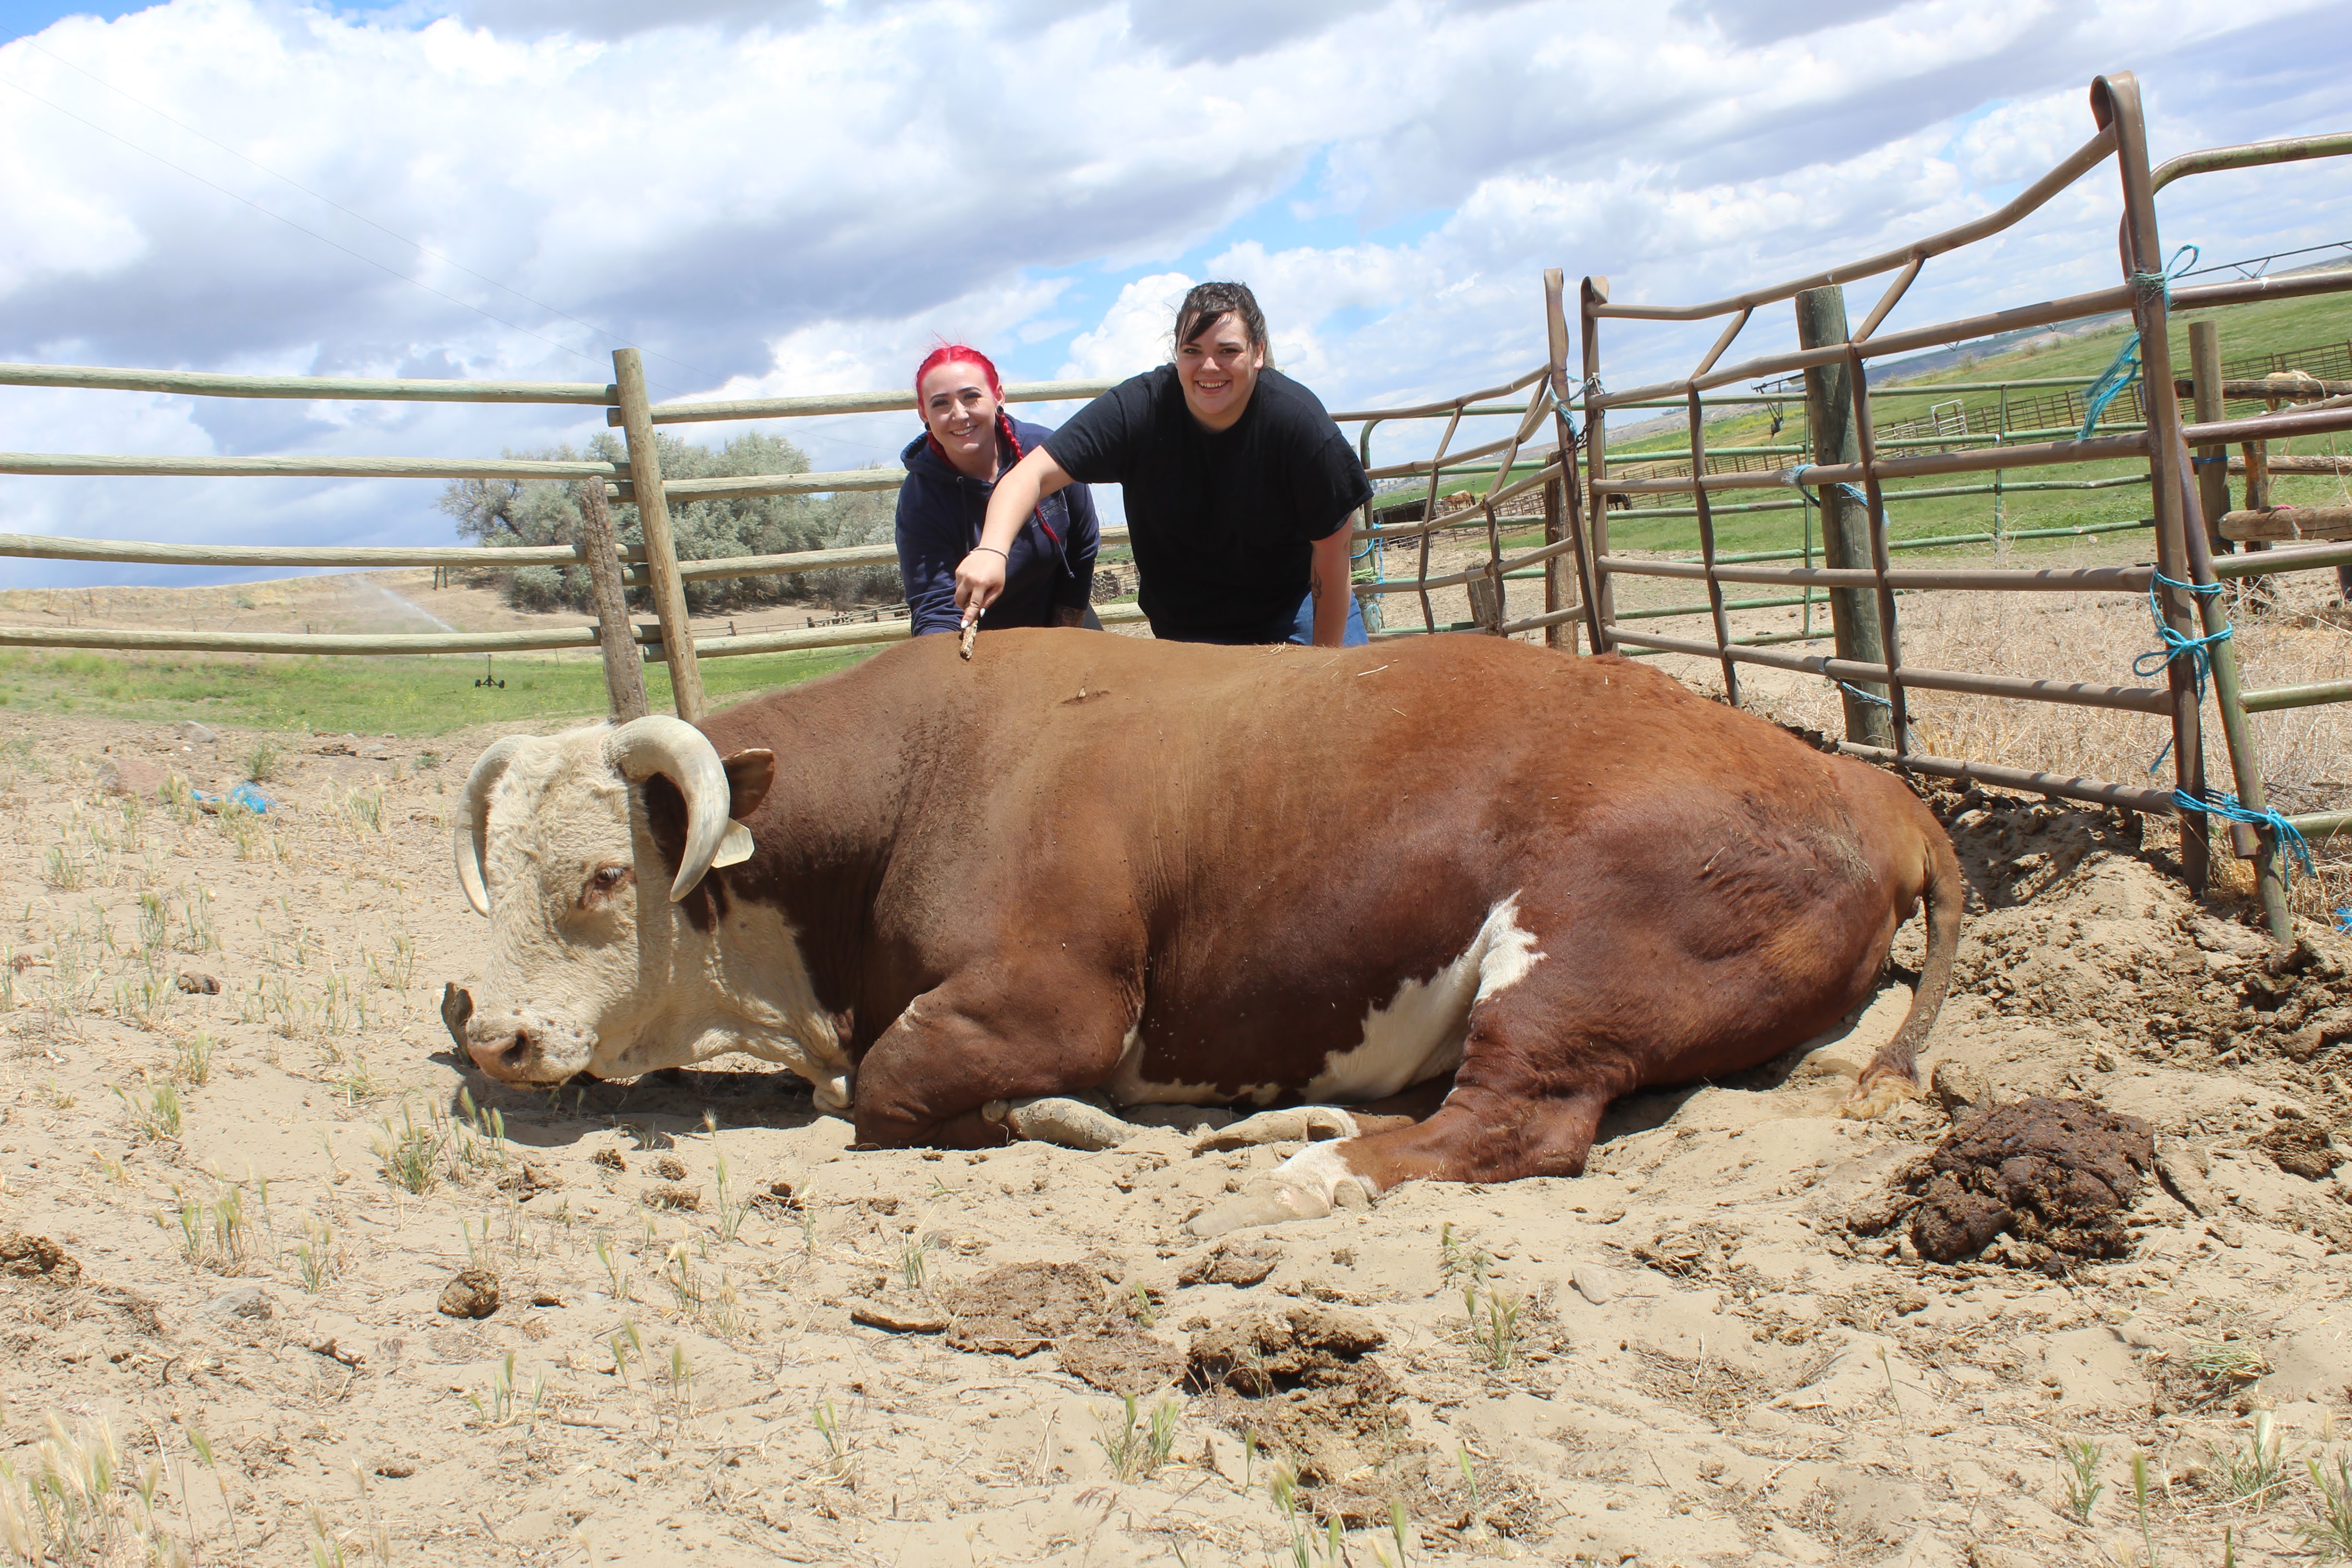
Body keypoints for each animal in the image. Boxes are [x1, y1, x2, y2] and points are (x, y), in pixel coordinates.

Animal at [449, 630, 1960, 1236]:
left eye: (601, 875)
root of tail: (1872, 788)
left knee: (1514, 1122)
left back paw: (1305, 1169)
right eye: (495, 873)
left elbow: (889, 1092)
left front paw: (1068, 1122)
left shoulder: (1055, 1001)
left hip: (1576, 958)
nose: (496, 1035)